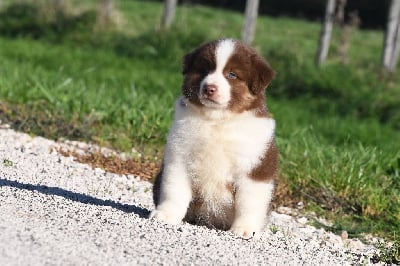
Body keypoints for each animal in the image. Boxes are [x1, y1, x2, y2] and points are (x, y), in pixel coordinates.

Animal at [150, 38, 278, 239]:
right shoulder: (179, 156)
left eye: (232, 74)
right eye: (204, 71)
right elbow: (174, 190)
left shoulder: (254, 166)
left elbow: (249, 202)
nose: (209, 88)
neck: (217, 120)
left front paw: (244, 228)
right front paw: (166, 214)